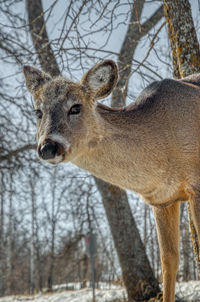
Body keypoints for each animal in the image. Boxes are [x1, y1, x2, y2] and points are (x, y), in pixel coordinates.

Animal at [23, 60, 200, 302]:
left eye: (75, 107)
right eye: (38, 111)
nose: (48, 147)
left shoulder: (196, 184)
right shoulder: (163, 198)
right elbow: (169, 261)